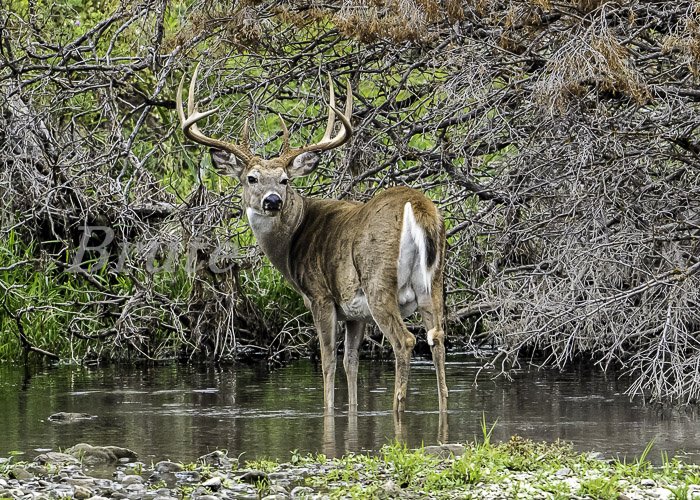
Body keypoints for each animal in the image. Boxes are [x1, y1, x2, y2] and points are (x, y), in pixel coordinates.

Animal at [175, 64, 448, 412]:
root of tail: (419, 206)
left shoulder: (320, 296)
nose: (273, 200)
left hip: (378, 280)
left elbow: (328, 361)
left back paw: (397, 408)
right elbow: (351, 363)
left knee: (406, 340)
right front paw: (352, 411)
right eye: (251, 178)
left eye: (284, 180)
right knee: (437, 339)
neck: (293, 240)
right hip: (434, 282)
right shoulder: (354, 313)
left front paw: (328, 409)